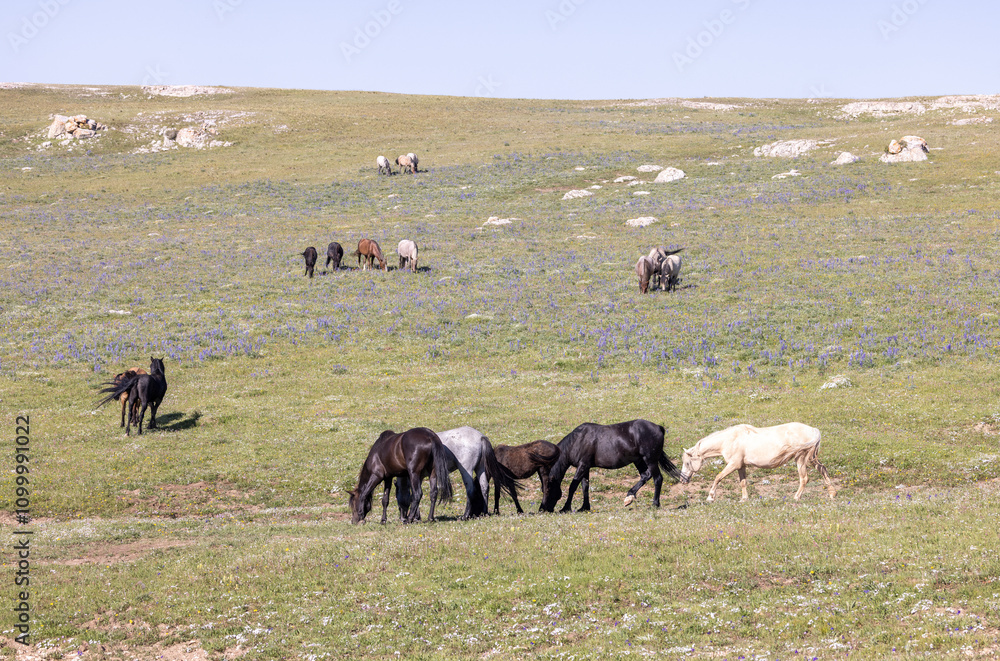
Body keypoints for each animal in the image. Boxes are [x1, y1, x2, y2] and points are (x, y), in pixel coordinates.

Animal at [541, 419, 681, 513]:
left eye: (547, 489)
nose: (543, 509)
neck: (577, 441)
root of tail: (658, 427)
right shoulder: (586, 467)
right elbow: (585, 486)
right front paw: (584, 507)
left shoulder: (582, 465)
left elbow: (573, 486)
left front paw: (565, 508)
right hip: (639, 461)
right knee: (645, 475)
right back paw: (629, 497)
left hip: (650, 460)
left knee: (657, 479)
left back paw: (655, 504)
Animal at [679, 423, 836, 502]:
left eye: (687, 463)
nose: (683, 480)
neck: (729, 440)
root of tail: (813, 430)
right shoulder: (741, 466)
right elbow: (743, 482)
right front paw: (744, 499)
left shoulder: (733, 464)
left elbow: (718, 477)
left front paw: (710, 497)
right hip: (811, 459)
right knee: (823, 469)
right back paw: (832, 494)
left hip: (801, 459)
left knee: (804, 478)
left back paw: (796, 497)